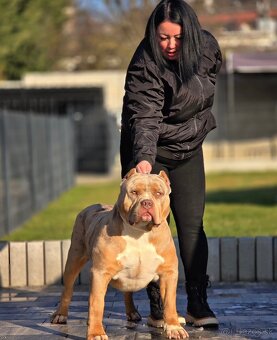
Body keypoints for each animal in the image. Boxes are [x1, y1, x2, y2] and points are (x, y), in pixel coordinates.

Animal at [50, 170, 187, 340]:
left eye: (158, 193)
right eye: (134, 192)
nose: (147, 203)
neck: (140, 232)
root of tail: (92, 206)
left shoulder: (168, 273)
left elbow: (169, 303)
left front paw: (174, 328)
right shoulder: (100, 273)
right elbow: (96, 304)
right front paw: (96, 333)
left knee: (127, 291)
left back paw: (132, 313)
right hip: (74, 259)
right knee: (68, 289)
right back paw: (60, 315)